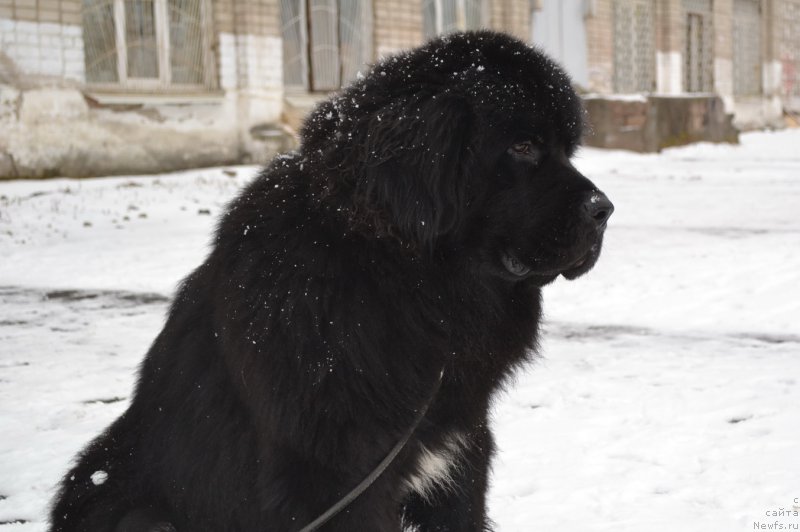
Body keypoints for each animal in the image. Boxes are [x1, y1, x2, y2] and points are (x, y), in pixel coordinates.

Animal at [50, 31, 612, 528]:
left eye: (568, 150)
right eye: (523, 147)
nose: (604, 209)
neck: (409, 283)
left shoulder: (460, 458)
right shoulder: (336, 479)